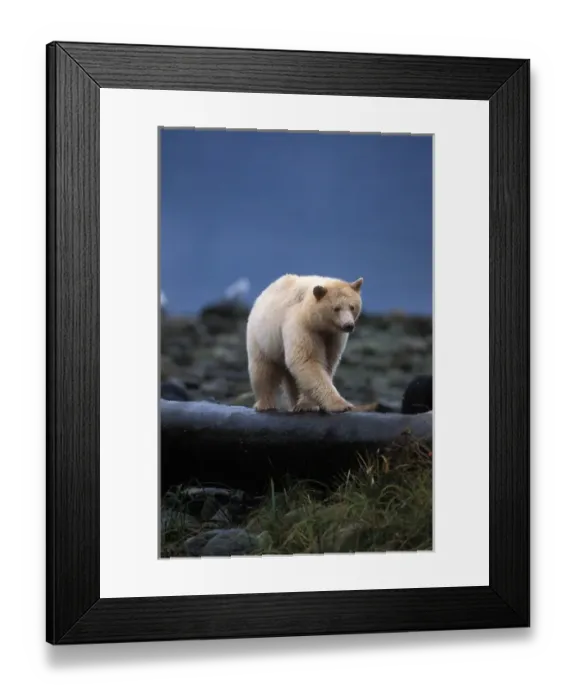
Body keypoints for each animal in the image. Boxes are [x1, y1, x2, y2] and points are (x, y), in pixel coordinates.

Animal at [245, 273, 364, 413]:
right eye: (336, 308)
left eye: (352, 307)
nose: (348, 325)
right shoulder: (303, 326)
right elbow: (307, 360)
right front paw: (341, 404)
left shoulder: (333, 337)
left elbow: (328, 363)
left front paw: (308, 404)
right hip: (262, 339)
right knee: (263, 370)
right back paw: (265, 404)